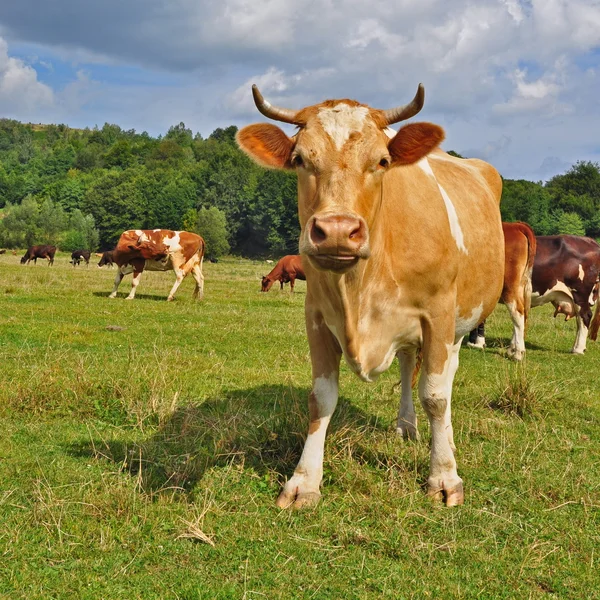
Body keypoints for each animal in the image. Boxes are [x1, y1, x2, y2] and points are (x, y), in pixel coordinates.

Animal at [239, 84, 506, 506]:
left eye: (382, 161)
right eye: (299, 159)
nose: (336, 230)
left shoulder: (438, 313)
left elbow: (436, 395)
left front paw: (444, 477)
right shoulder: (316, 316)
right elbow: (321, 397)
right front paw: (304, 480)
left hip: (461, 321)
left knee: (445, 377)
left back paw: (444, 441)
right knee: (408, 365)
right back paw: (406, 426)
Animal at [466, 221, 536, 358]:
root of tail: (516, 225)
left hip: (509, 285)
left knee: (517, 311)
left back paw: (518, 353)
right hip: (520, 284)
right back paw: (512, 348)